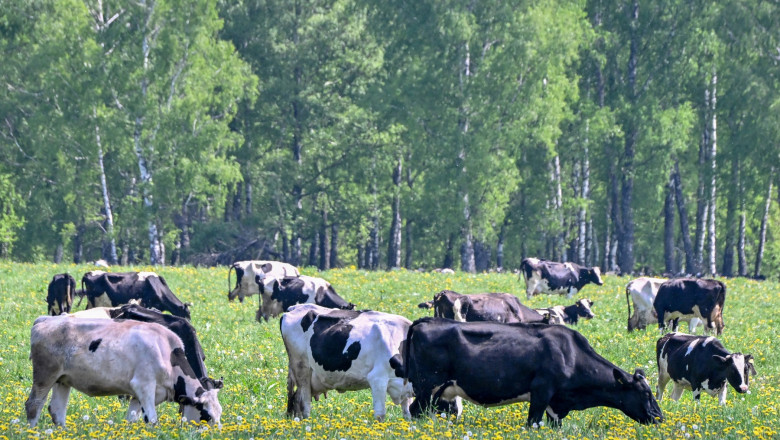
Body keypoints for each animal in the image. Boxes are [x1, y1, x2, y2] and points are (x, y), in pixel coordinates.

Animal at [25, 316, 222, 427]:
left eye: (220, 413)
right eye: (207, 415)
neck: (166, 351)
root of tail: (45, 320)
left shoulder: (138, 395)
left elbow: (132, 421)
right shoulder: (144, 385)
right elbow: (152, 420)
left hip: (62, 380)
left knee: (57, 410)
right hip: (45, 376)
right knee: (33, 405)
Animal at [280, 304, 413, 421]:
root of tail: (294, 308)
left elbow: (407, 414)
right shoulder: (377, 379)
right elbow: (380, 415)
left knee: (296, 399)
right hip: (301, 369)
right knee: (304, 401)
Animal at [399, 318, 663, 426]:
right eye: (646, 394)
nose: (660, 417)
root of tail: (427, 321)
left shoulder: (556, 405)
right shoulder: (541, 392)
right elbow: (532, 423)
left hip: (436, 392)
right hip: (426, 387)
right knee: (415, 413)